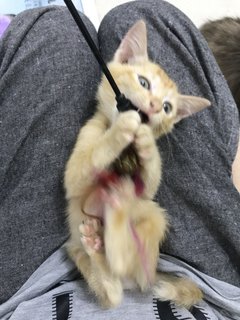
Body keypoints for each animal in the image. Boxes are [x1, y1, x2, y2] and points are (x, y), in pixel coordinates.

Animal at [64, 19, 210, 308]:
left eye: (167, 108)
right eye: (143, 82)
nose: (152, 107)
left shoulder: (147, 193)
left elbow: (149, 183)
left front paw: (147, 145)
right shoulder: (76, 166)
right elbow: (84, 166)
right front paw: (119, 130)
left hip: (152, 217)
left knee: (132, 266)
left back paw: (117, 214)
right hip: (76, 248)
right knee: (112, 294)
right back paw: (97, 249)